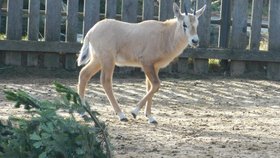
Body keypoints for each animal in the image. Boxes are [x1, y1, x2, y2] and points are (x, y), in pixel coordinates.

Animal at [76, 1, 206, 124]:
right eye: (184, 24)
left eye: (196, 24)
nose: (195, 41)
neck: (165, 34)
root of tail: (91, 31)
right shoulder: (146, 63)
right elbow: (156, 85)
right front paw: (134, 112)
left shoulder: (155, 67)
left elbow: (150, 86)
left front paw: (150, 117)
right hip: (108, 60)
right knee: (105, 81)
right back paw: (121, 115)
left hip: (98, 60)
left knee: (84, 74)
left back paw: (83, 112)